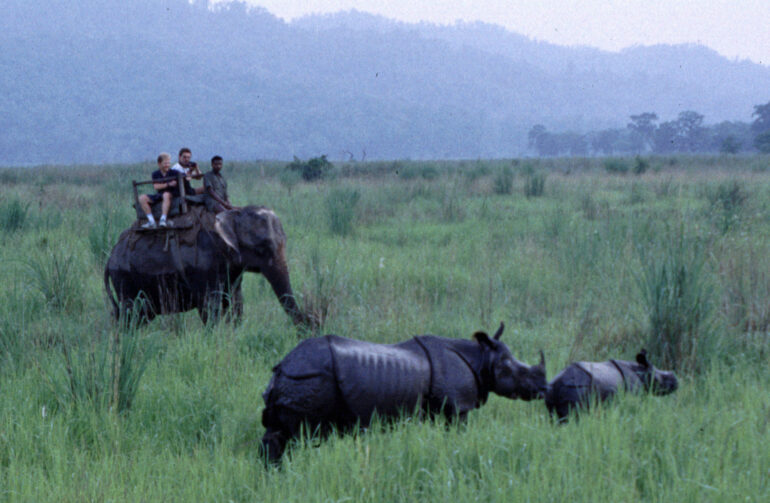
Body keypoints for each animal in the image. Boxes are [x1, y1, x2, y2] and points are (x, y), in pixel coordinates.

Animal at [104, 205, 312, 326]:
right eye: (262, 248)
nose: (310, 324)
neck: (230, 213)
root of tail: (110, 257)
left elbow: (236, 303)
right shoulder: (205, 267)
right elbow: (210, 308)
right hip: (125, 280)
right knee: (131, 316)